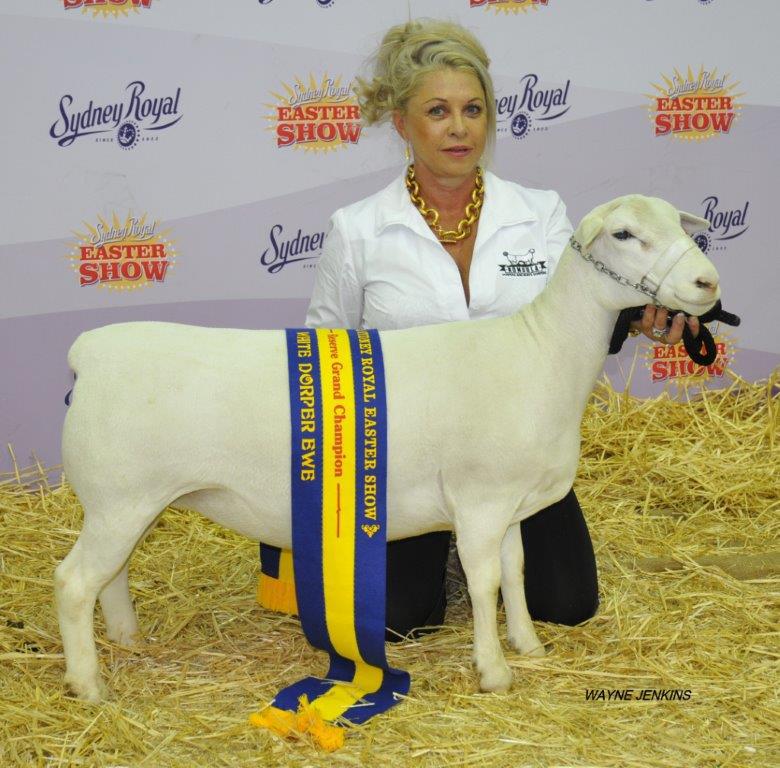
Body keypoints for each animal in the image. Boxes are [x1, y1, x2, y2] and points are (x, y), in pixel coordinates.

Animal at [55, 195, 720, 703]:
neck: (542, 351)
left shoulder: (507, 501)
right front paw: (494, 671)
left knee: (110, 575)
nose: (707, 282)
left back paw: (128, 640)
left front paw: (528, 645)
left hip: (127, 502)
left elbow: (515, 571)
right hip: (121, 498)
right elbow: (483, 582)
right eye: (625, 233)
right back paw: (89, 686)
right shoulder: (479, 500)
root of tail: (89, 352)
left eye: (678, 224)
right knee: (74, 581)